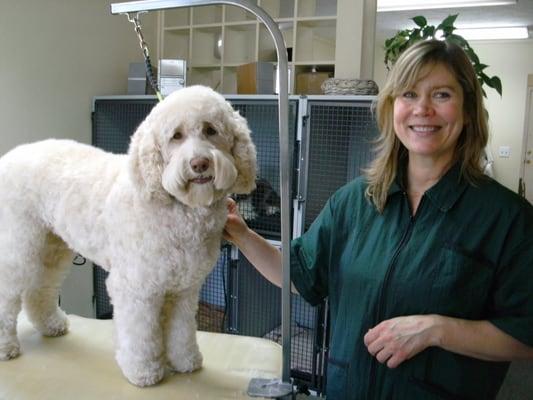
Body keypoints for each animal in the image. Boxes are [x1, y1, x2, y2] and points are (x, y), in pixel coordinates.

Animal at [0, 85, 256, 388]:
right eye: (176, 136)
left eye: (210, 130)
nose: (200, 163)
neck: (176, 209)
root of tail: (9, 156)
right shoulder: (136, 288)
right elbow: (140, 335)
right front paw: (144, 371)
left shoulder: (184, 289)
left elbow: (181, 330)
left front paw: (186, 361)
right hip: (18, 244)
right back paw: (6, 346)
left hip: (50, 246)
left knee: (39, 288)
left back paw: (51, 324)